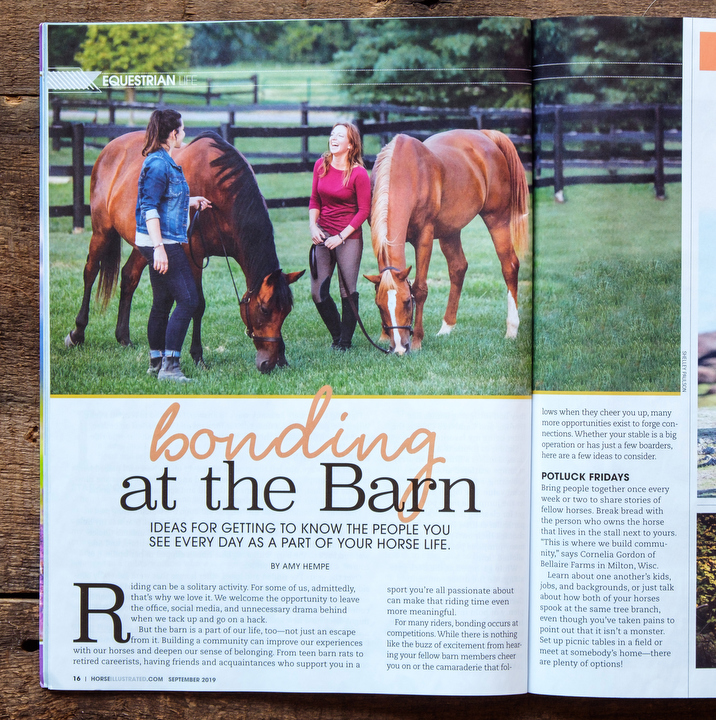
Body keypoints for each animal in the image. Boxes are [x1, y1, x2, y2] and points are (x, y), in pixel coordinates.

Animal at [62, 131, 304, 374]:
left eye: (286, 311)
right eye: (264, 310)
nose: (268, 363)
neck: (218, 194)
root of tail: (109, 147)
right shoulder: (193, 256)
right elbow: (198, 304)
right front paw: (197, 356)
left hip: (145, 246)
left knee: (129, 277)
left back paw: (123, 337)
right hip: (101, 231)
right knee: (90, 272)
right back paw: (77, 333)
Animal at [366, 131, 528, 356]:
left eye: (407, 302)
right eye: (379, 306)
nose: (399, 348)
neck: (406, 173)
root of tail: (485, 135)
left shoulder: (424, 237)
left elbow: (420, 288)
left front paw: (417, 341)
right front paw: (383, 337)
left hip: (497, 220)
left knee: (509, 266)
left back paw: (511, 329)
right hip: (450, 232)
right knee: (458, 268)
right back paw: (446, 327)